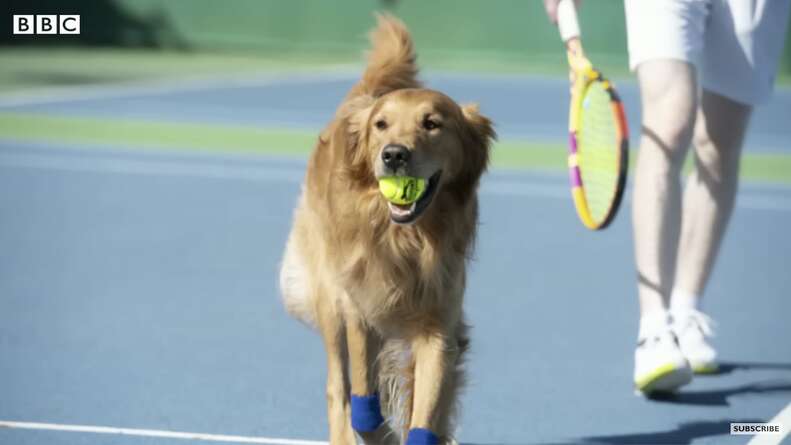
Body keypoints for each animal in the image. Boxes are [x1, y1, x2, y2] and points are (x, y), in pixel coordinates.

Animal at [282, 14, 496, 444]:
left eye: (432, 124)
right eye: (381, 125)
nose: (394, 154)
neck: (404, 241)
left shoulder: (438, 325)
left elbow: (425, 412)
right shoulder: (358, 307)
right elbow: (364, 399)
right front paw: (376, 432)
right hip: (329, 301)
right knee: (339, 386)